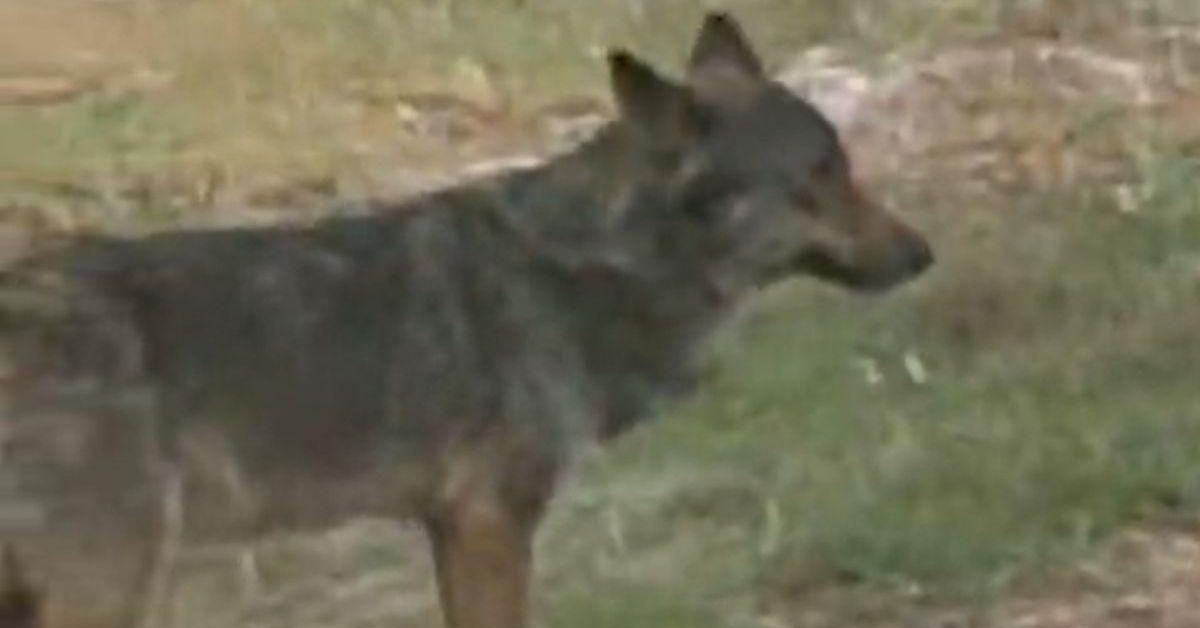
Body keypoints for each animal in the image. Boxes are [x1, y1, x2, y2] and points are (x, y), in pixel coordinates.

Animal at [0, 13, 931, 628]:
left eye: (844, 166)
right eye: (819, 176)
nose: (924, 254)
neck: (590, 266)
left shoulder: (452, 526)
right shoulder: (491, 521)